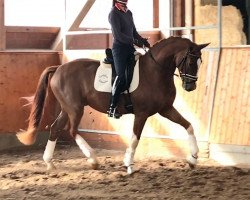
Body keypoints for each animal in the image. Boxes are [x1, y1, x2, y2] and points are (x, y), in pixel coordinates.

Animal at [17, 36, 209, 174]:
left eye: (200, 62)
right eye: (191, 62)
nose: (190, 87)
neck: (155, 71)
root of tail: (58, 68)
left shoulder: (166, 109)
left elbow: (189, 126)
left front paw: (193, 158)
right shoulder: (142, 113)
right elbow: (135, 138)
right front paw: (129, 165)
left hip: (67, 108)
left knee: (55, 128)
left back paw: (50, 163)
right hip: (75, 108)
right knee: (71, 130)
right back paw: (93, 160)